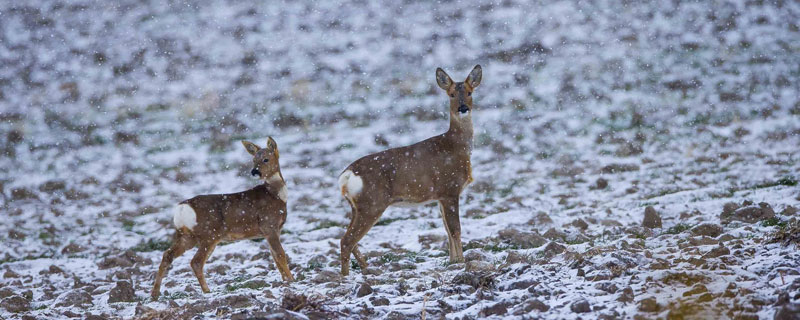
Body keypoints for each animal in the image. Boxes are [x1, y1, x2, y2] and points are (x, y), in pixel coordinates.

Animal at [151, 138, 294, 300]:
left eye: (265, 159)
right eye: (253, 160)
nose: (254, 171)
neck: (276, 195)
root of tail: (182, 208)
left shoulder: (271, 231)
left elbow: (275, 257)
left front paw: (285, 280)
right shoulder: (269, 225)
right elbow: (280, 254)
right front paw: (291, 280)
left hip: (187, 236)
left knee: (167, 255)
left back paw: (154, 294)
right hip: (209, 233)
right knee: (196, 261)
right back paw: (207, 290)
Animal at [338, 64, 482, 276]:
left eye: (470, 92)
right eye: (452, 94)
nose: (463, 108)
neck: (455, 146)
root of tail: (347, 175)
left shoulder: (440, 196)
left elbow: (447, 230)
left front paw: (452, 260)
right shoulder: (449, 189)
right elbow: (455, 229)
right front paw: (461, 262)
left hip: (356, 206)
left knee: (348, 238)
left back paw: (367, 269)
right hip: (372, 203)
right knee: (347, 240)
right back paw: (346, 276)